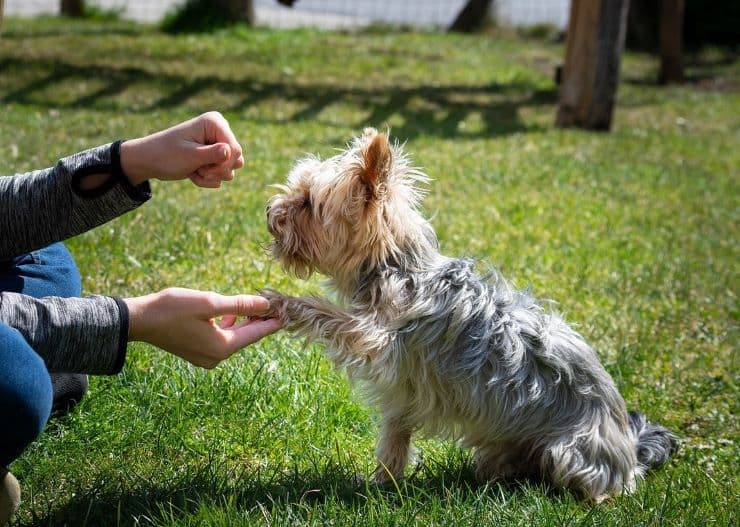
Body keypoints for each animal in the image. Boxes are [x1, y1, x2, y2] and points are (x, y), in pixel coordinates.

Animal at [264, 128, 680, 504]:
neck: (395, 266)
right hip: (505, 442)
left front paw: (282, 302)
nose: (270, 210)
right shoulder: (404, 389)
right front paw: (383, 483)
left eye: (307, 202)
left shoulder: (376, 336)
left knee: (595, 487)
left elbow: (329, 315)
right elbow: (395, 437)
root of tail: (630, 451)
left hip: (572, 451)